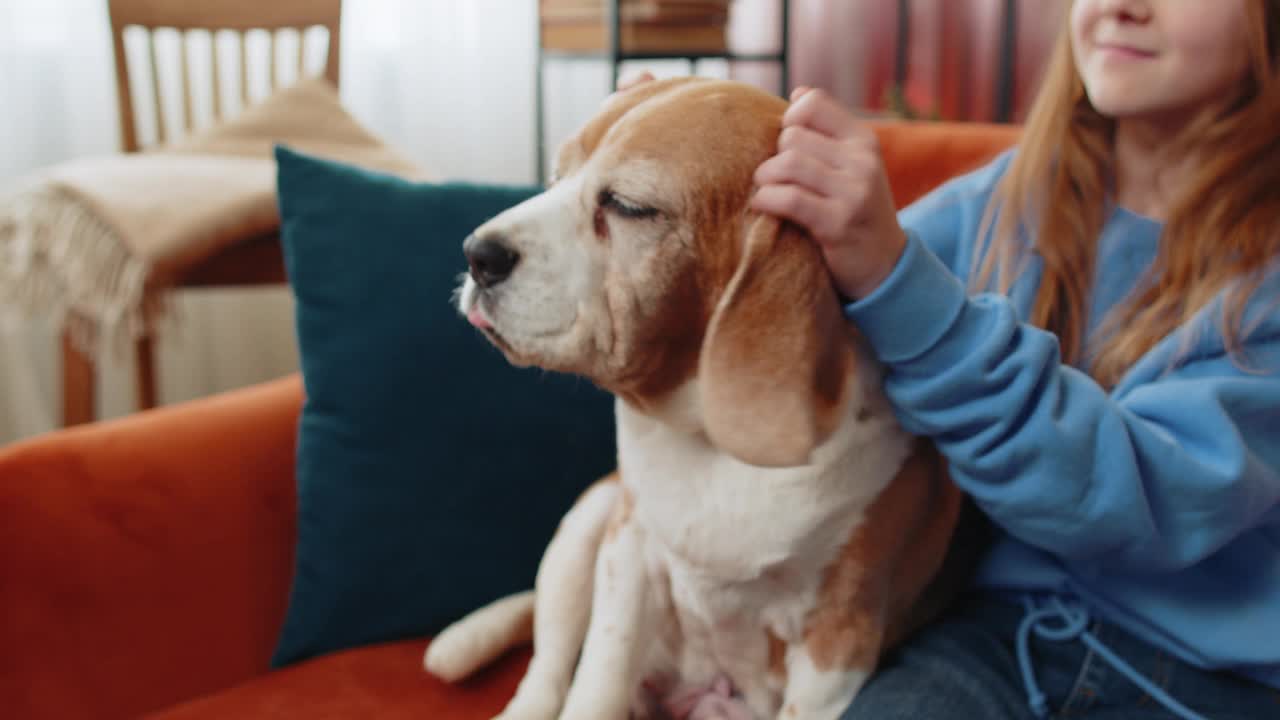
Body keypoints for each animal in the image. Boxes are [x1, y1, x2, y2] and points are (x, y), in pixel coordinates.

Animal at [424, 75, 962, 712]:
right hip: (588, 521)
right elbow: (595, 683)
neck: (709, 442)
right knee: (549, 668)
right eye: (556, 177)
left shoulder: (839, 640)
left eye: (628, 206)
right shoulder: (627, 554)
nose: (476, 253)